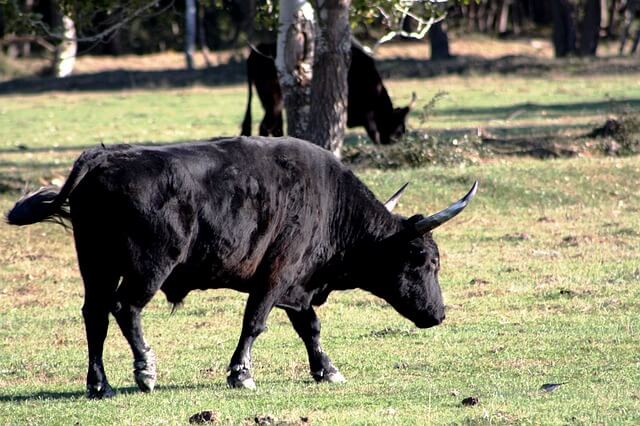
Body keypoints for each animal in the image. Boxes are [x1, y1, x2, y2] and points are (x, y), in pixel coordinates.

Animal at [5, 137, 476, 400]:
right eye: (425, 260)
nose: (439, 315)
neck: (330, 203)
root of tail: (104, 159)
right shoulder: (277, 274)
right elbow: (255, 322)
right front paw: (240, 374)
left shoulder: (297, 286)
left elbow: (310, 327)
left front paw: (327, 369)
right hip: (148, 266)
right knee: (126, 308)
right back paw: (145, 371)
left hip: (95, 265)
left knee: (95, 315)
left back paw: (98, 384)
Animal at [240, 42, 416, 145]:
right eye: (398, 127)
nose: (399, 139)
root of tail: (256, 51)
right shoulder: (368, 114)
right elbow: (374, 133)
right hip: (274, 99)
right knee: (265, 126)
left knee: (275, 126)